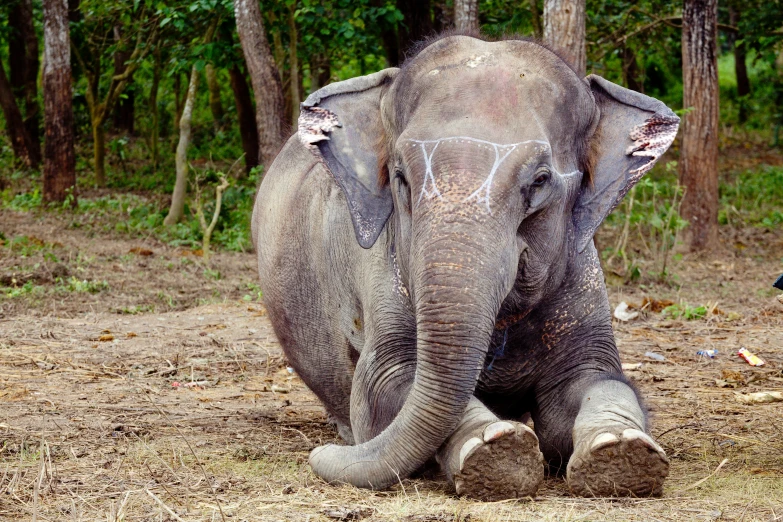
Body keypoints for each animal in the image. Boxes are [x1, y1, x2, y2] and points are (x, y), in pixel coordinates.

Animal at [253, 33, 680, 500]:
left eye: (540, 181)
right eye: (400, 177)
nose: (319, 455)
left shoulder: (582, 273)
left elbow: (593, 380)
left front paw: (621, 452)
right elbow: (385, 387)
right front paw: (494, 450)